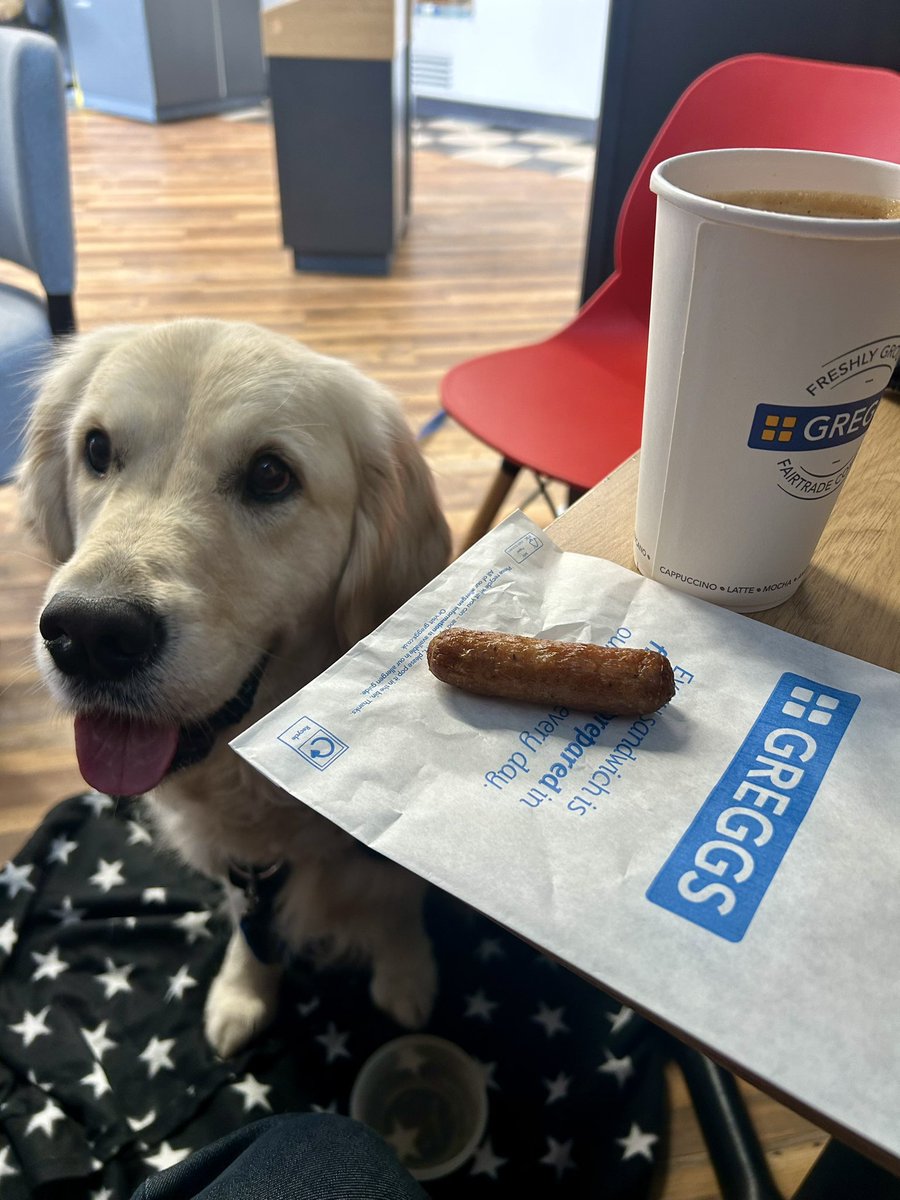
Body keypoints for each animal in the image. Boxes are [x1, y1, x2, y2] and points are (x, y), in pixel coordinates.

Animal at [14, 321, 451, 1060]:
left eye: (271, 474)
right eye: (96, 448)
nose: (90, 634)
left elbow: (396, 903)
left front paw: (407, 974)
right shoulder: (246, 869)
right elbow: (254, 933)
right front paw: (244, 991)